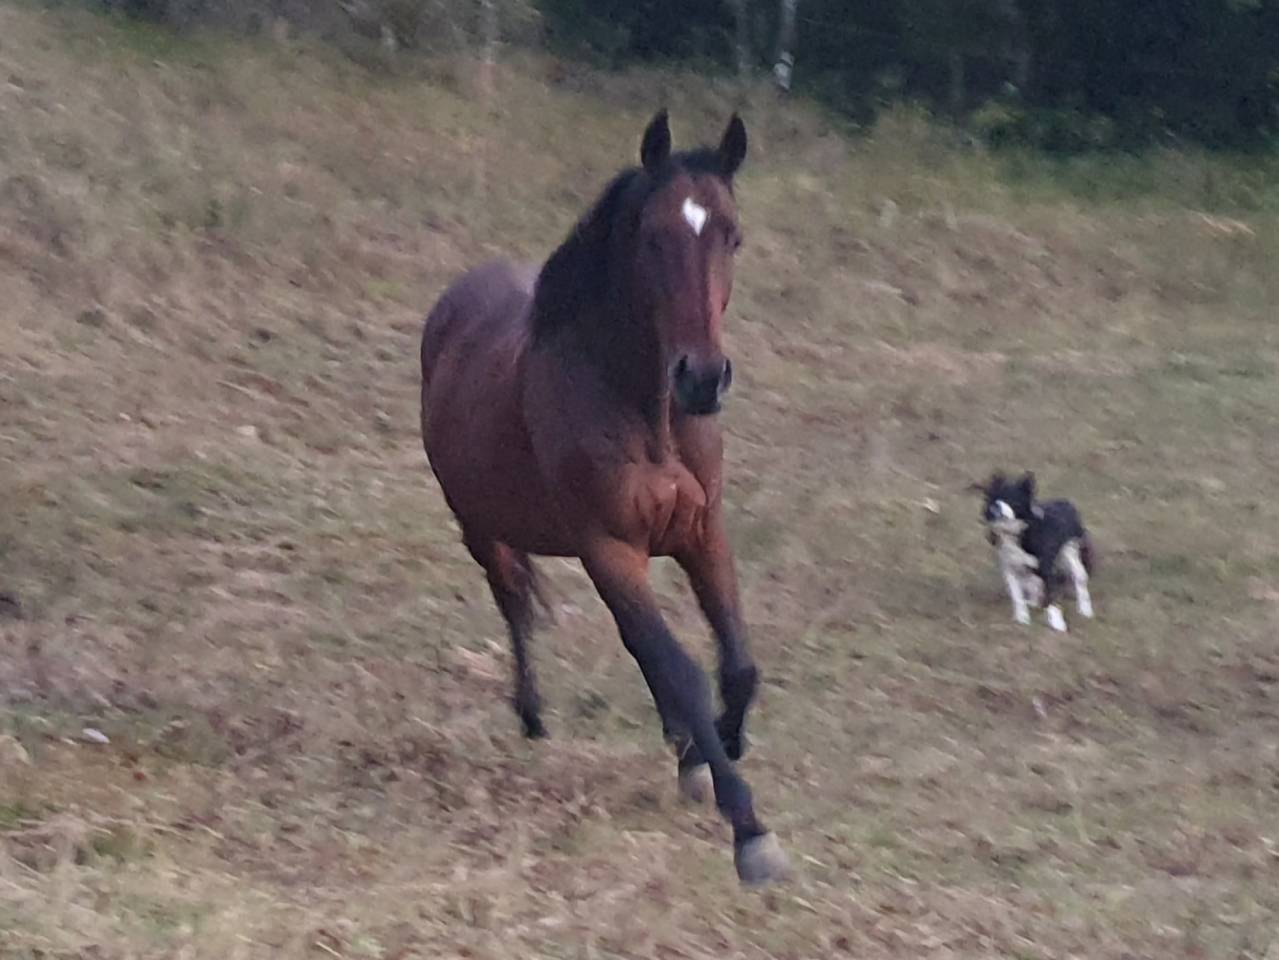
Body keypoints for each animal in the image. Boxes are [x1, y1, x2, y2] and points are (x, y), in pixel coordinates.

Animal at [419, 110, 789, 887]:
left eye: (732, 234)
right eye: (652, 236)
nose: (702, 378)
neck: (643, 408)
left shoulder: (701, 534)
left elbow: (735, 666)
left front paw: (718, 748)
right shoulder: (610, 547)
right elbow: (680, 668)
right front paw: (747, 826)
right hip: (482, 530)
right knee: (516, 608)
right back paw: (533, 718)